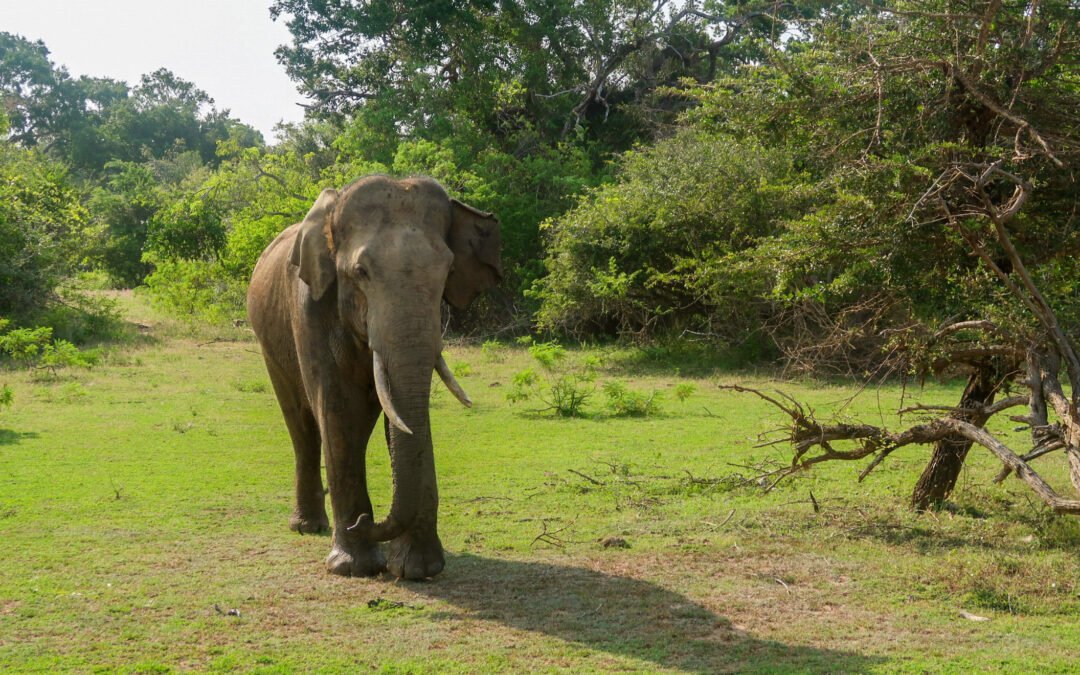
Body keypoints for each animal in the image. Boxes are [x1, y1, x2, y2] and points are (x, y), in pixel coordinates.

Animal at [246, 176, 501, 583]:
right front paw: (354, 568)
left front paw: (418, 569)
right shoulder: (310, 308)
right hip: (268, 342)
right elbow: (337, 409)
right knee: (302, 423)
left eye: (446, 272)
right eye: (361, 272)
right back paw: (307, 527)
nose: (366, 520)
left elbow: (404, 417)